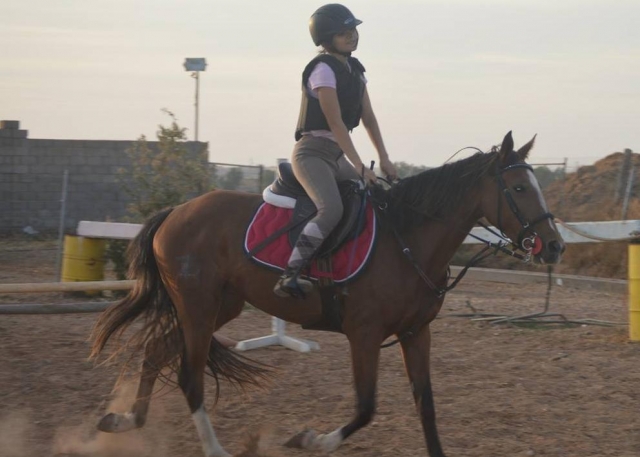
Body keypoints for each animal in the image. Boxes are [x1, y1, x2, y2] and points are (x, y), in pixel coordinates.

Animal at [91, 132, 564, 456]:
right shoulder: (365, 335)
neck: (406, 239)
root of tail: (177, 211)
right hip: (199, 307)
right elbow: (366, 407)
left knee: (157, 350)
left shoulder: (416, 333)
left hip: (219, 307)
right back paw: (214, 449)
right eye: (519, 189)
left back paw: (123, 420)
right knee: (189, 377)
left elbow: (425, 406)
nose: (554, 245)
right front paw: (310, 439)